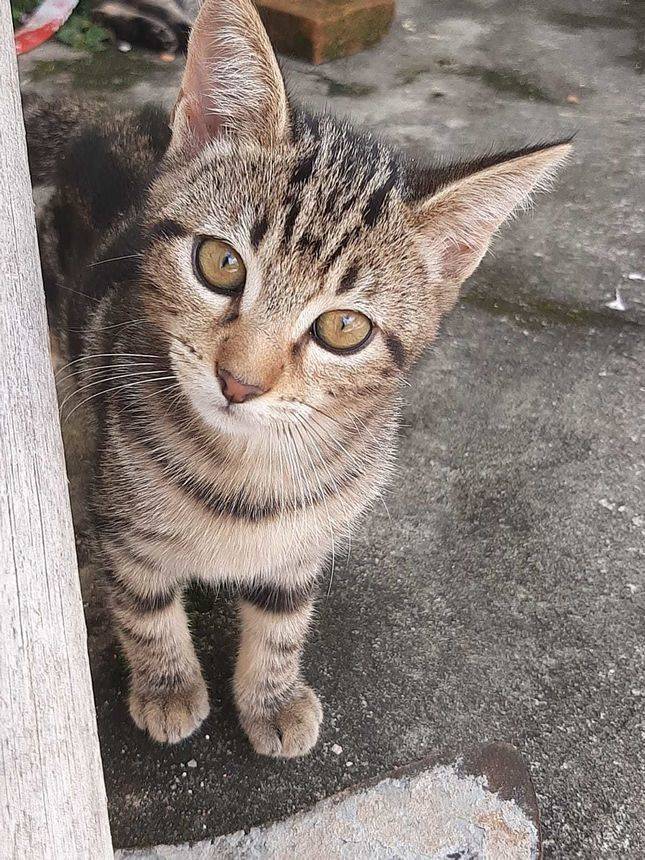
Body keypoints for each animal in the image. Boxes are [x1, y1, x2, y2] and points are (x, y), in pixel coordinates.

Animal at [25, 0, 570, 756]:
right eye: (220, 263)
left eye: (343, 329)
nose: (239, 382)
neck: (247, 474)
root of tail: (100, 122)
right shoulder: (129, 528)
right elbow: (146, 606)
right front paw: (167, 685)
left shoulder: (302, 547)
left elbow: (282, 622)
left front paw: (272, 696)